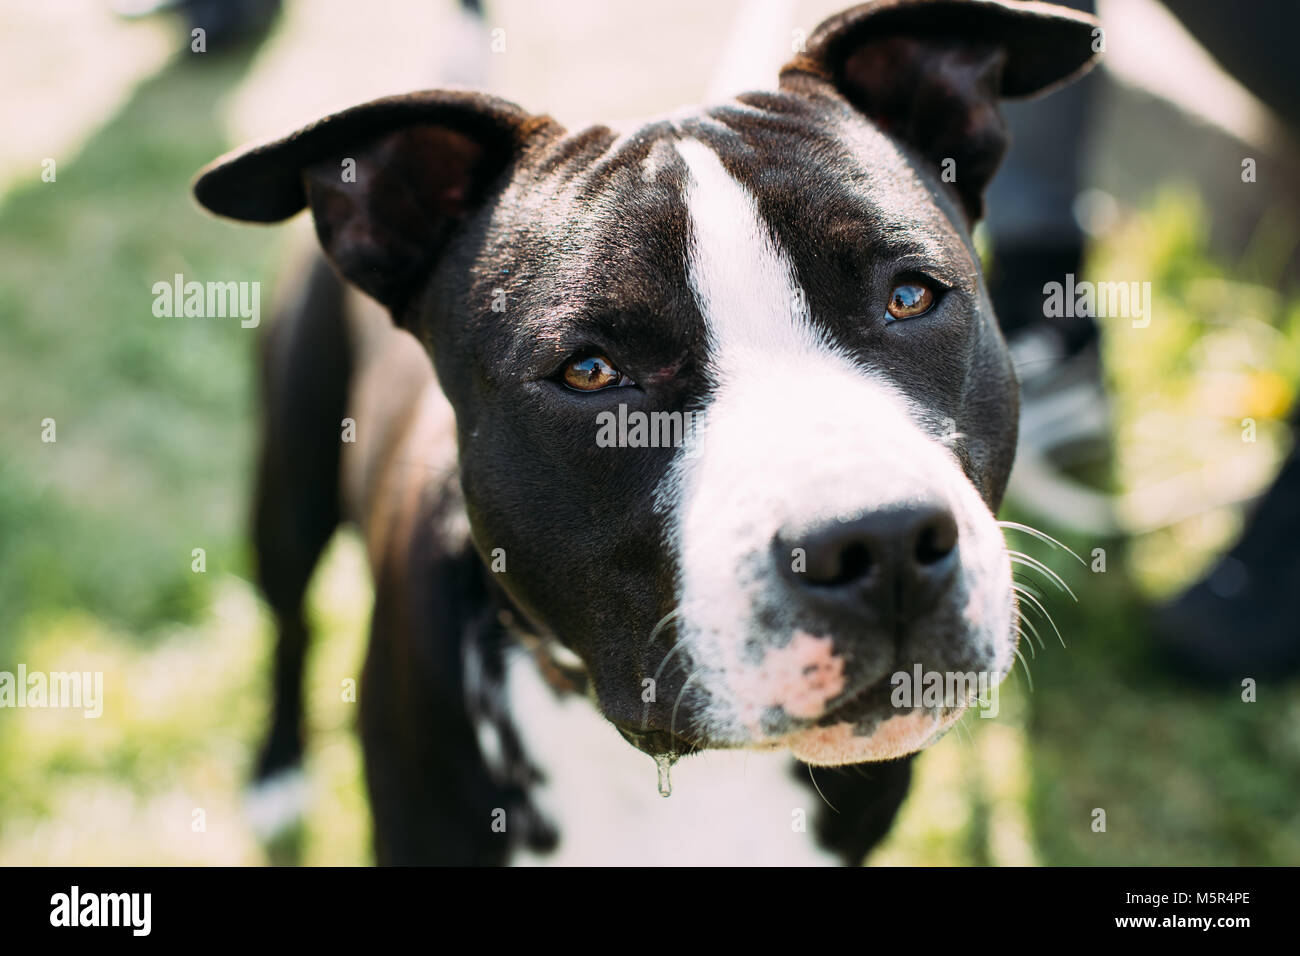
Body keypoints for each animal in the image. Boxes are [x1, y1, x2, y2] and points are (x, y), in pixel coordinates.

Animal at [195, 0, 1097, 868]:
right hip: (290, 485)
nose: (881, 540)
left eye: (910, 296)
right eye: (591, 372)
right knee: (288, 620)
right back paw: (277, 773)